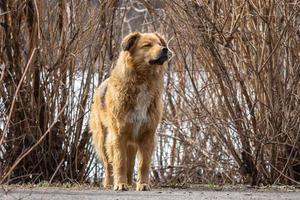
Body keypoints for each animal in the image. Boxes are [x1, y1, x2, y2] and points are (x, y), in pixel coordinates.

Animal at [89, 31, 172, 191]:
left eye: (160, 44)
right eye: (147, 45)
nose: (165, 49)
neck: (144, 80)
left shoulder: (147, 134)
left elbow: (143, 164)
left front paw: (143, 184)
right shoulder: (118, 135)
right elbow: (120, 162)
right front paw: (120, 184)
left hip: (131, 143)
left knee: (130, 163)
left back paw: (128, 182)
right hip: (103, 138)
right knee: (108, 164)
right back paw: (109, 183)